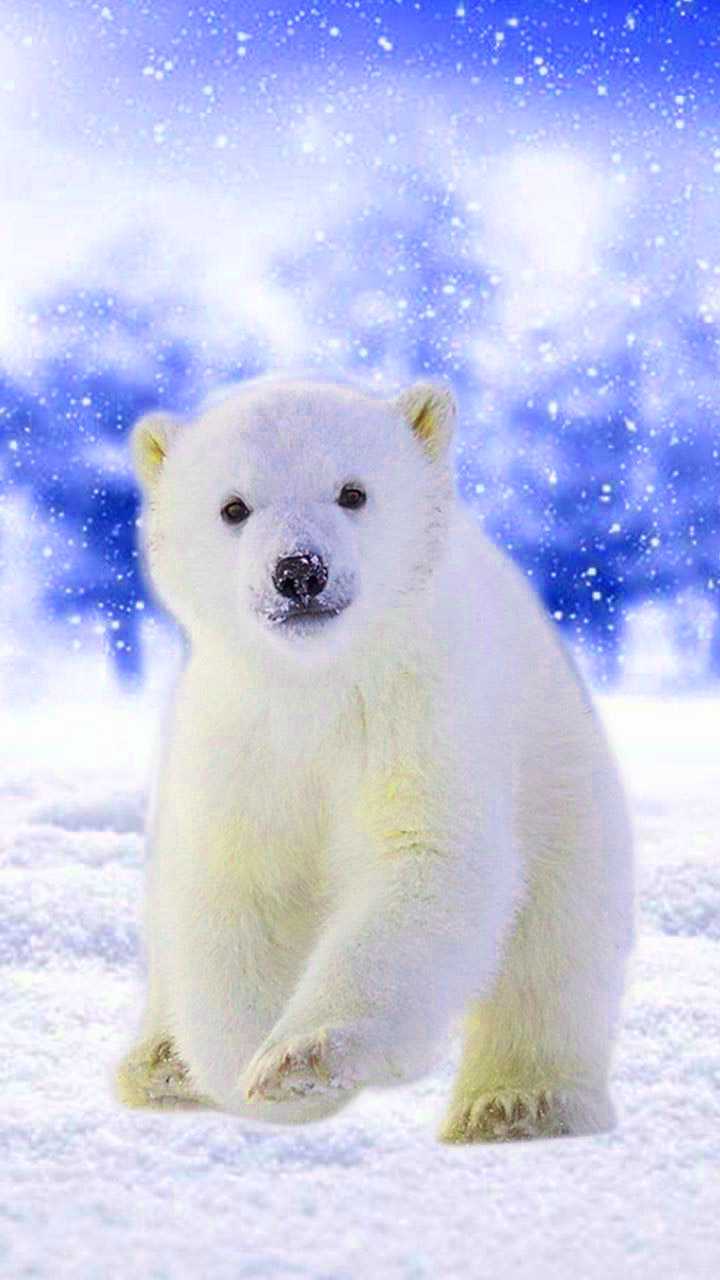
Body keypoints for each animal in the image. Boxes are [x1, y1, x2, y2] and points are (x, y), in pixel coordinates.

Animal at [115, 376, 634, 1142]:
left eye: (352, 492)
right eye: (233, 507)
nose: (300, 571)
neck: (322, 681)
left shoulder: (422, 712)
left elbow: (428, 860)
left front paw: (299, 1058)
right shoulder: (240, 740)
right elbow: (231, 890)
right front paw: (246, 1068)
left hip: (566, 795)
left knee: (554, 954)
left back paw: (518, 1104)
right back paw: (160, 1065)